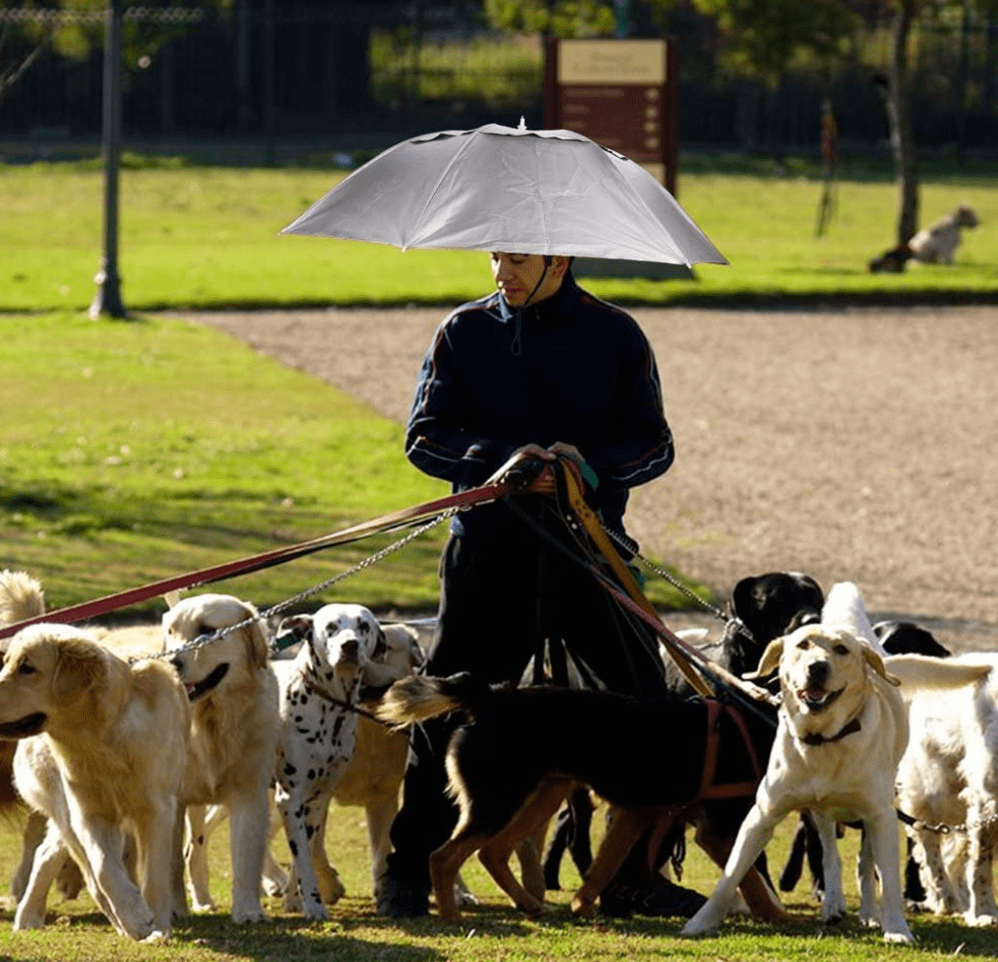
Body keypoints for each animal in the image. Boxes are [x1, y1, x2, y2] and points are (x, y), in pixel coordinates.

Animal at [378, 672, 784, 920]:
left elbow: (604, 865)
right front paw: (777, 916)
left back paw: (529, 904)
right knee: (442, 858)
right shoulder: (716, 831)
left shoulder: (638, 814)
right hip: (498, 803)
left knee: (490, 853)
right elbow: (748, 876)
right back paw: (451, 915)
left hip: (539, 797)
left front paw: (581, 904)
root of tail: (491, 698)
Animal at [684, 580, 916, 940]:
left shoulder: (880, 815)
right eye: (802, 644)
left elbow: (887, 879)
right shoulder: (762, 813)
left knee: (864, 864)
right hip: (819, 811)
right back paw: (833, 902)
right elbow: (732, 873)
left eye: (841, 650)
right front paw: (702, 921)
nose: (817, 667)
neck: (824, 740)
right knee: (830, 853)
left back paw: (868, 912)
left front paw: (896, 928)